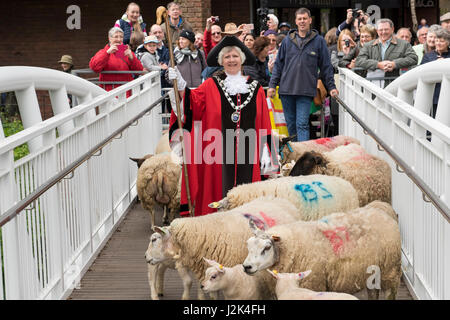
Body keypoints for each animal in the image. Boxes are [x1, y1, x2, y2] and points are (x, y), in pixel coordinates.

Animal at [244, 200, 402, 300]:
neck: (291, 246)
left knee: (390, 292)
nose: (247, 266)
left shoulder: (313, 282)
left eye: (267, 247)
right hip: (373, 271)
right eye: (248, 245)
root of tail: (384, 212)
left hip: (390, 270)